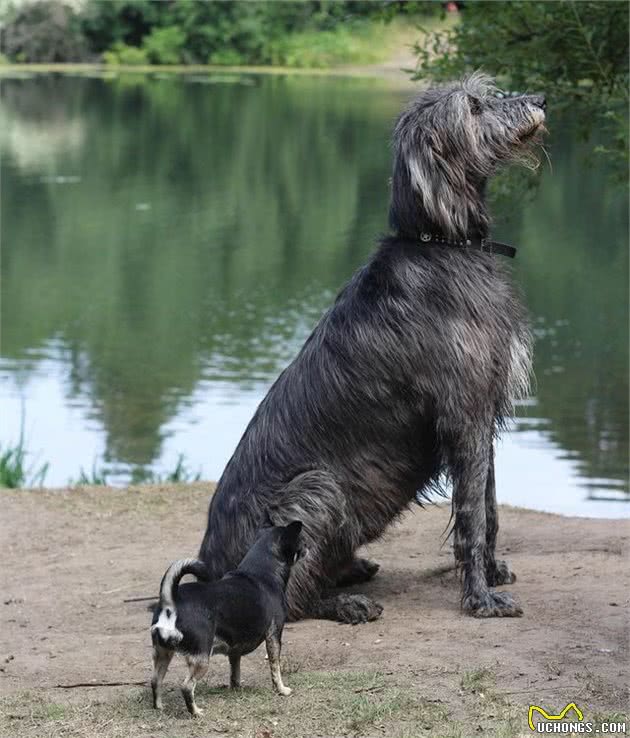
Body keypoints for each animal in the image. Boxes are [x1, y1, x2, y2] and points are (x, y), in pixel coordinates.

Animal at [149, 516, 304, 712]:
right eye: (300, 542)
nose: (307, 547)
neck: (263, 571)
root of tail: (172, 602)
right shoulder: (274, 636)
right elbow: (275, 668)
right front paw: (282, 690)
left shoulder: (234, 650)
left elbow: (234, 672)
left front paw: (236, 687)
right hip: (202, 658)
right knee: (186, 687)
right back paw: (196, 712)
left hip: (163, 653)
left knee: (155, 680)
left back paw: (159, 707)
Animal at [200, 73, 544, 620]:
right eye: (473, 107)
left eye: (486, 94)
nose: (541, 100)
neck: (442, 245)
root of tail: (210, 569)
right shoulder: (464, 415)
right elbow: (471, 515)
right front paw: (480, 599)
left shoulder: (481, 418)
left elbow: (489, 508)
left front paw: (490, 574)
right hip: (316, 490)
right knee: (285, 603)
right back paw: (343, 604)